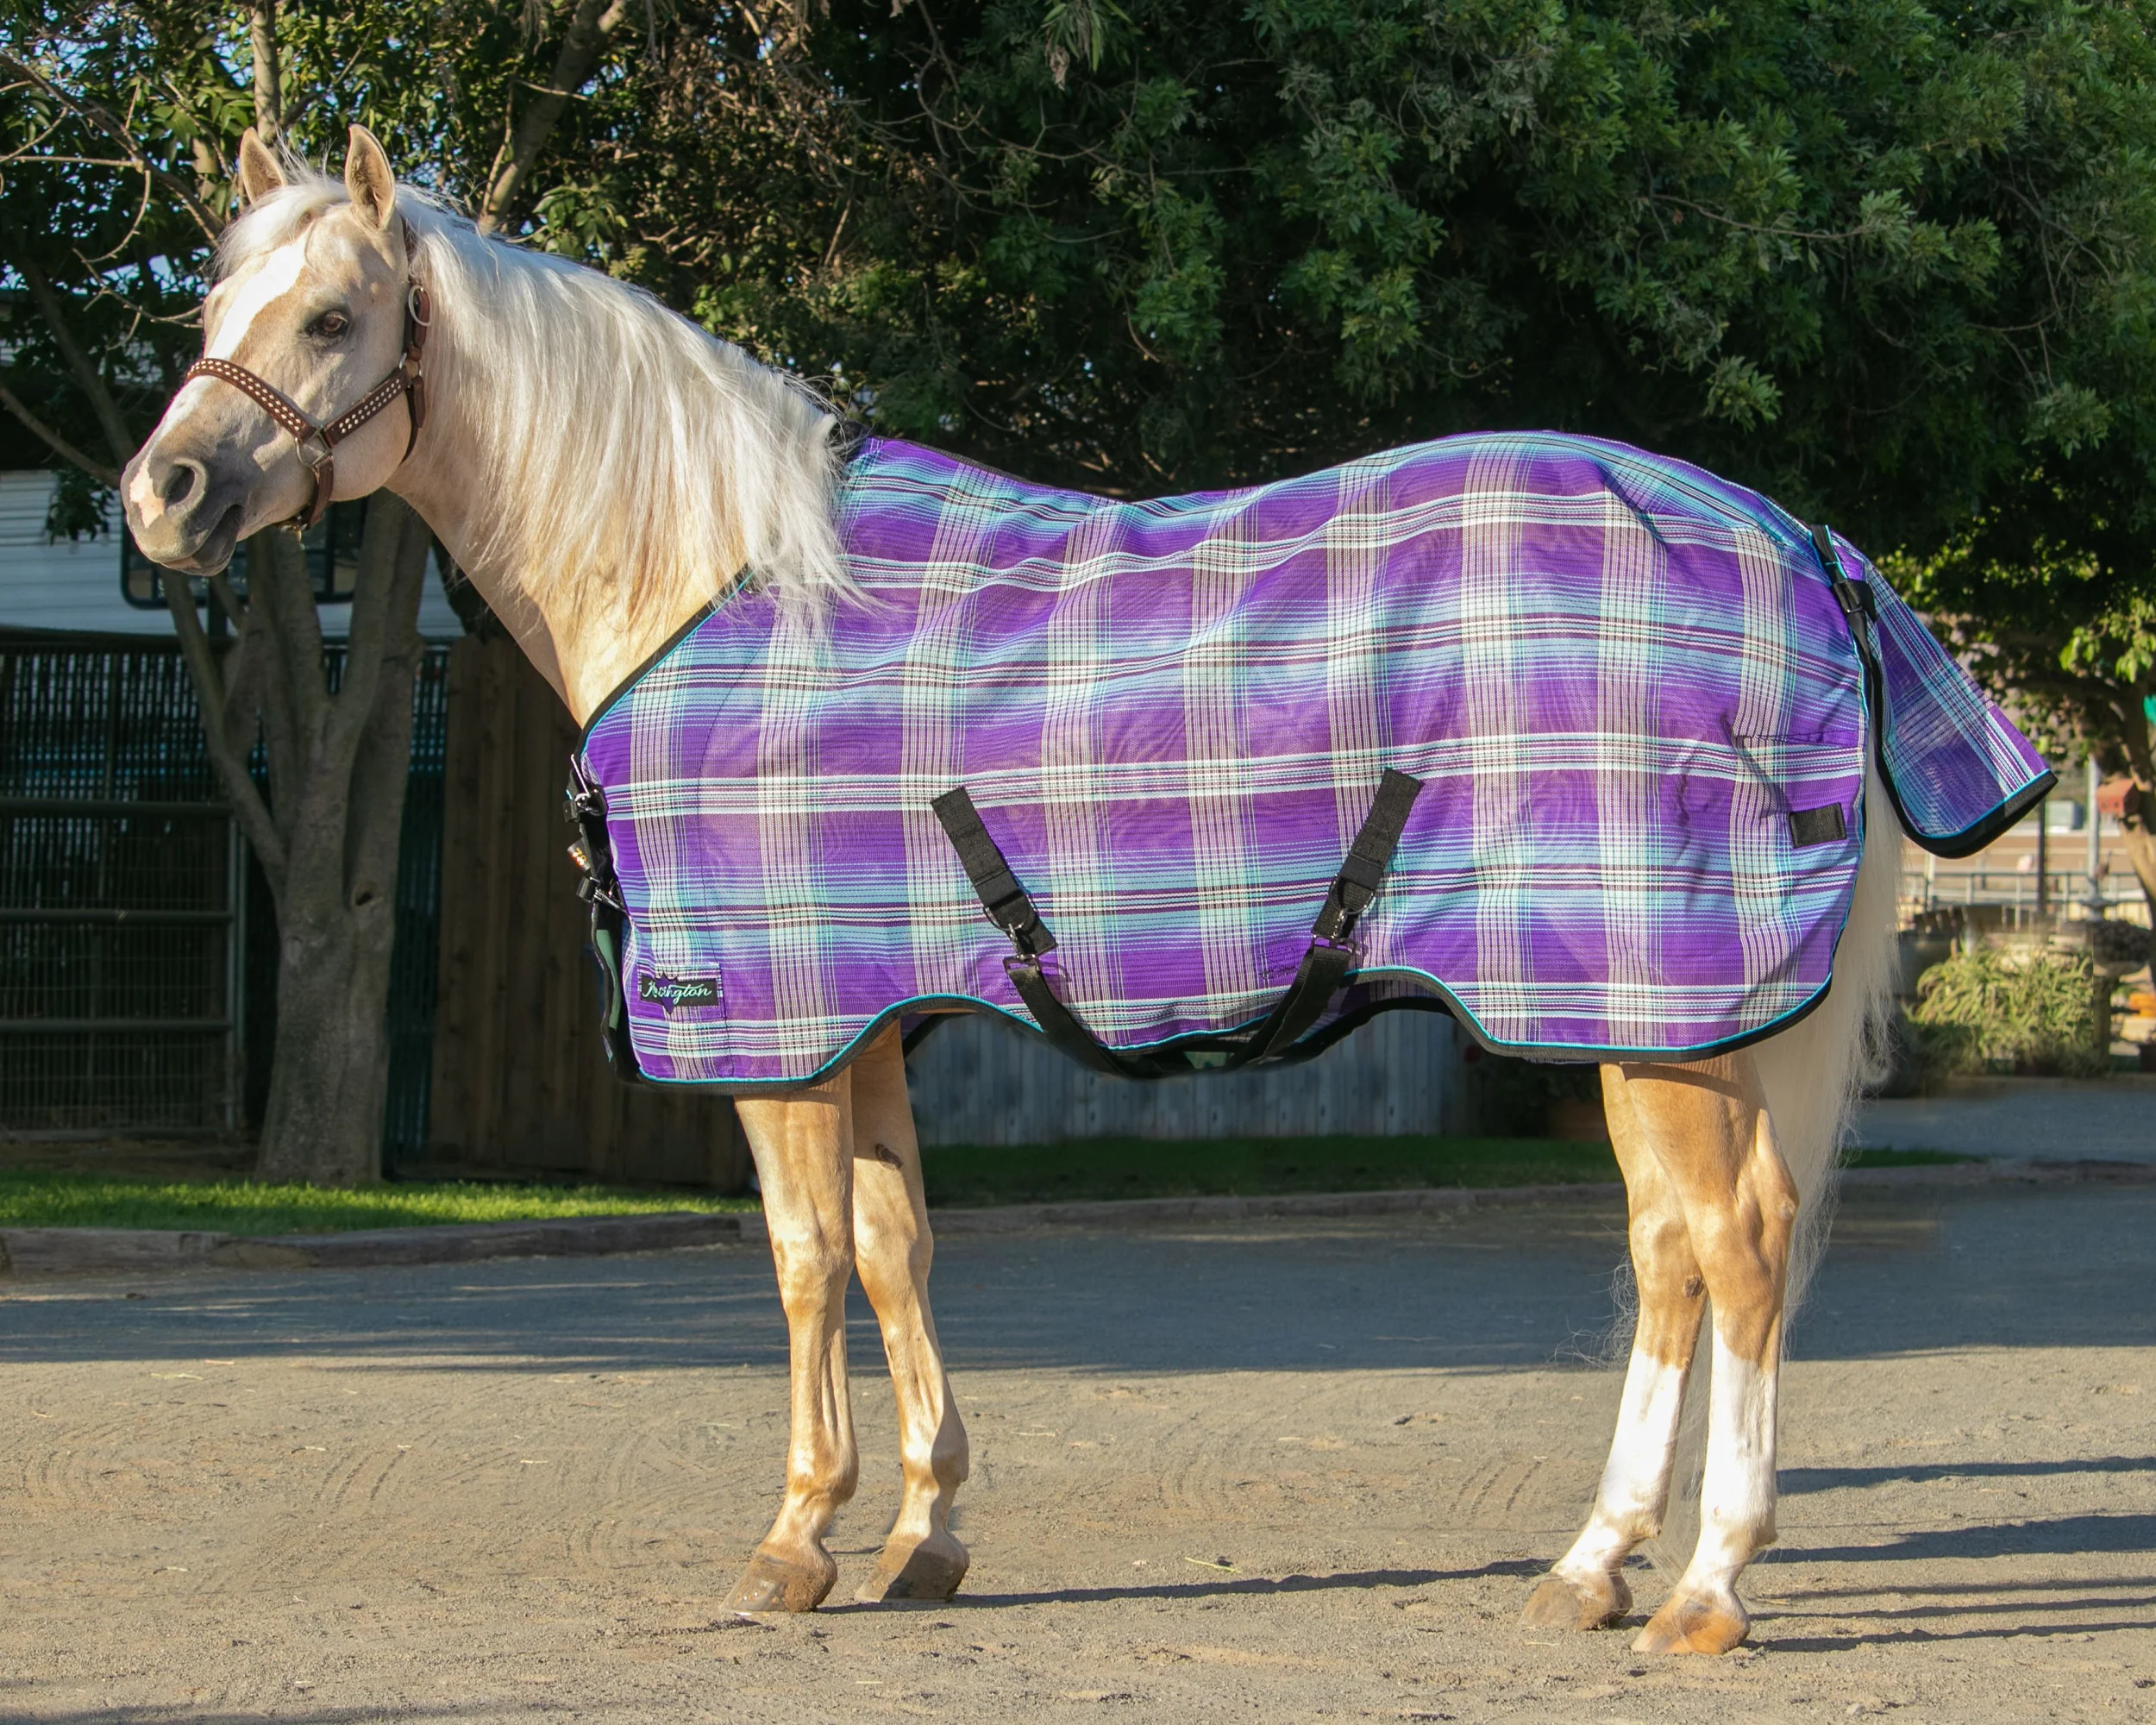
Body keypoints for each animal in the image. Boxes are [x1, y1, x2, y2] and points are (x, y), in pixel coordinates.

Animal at [124, 124, 1974, 1657]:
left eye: (331, 319)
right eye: (220, 296)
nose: (164, 493)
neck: (721, 576)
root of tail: (1813, 551)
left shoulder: (776, 1029)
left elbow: (805, 1259)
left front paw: (799, 1543)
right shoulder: (868, 1019)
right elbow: (895, 1249)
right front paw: (924, 1536)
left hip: (1657, 1012)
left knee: (1734, 1250)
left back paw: (1710, 1588)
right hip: (1647, 1020)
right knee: (1673, 1258)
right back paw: (1596, 1565)